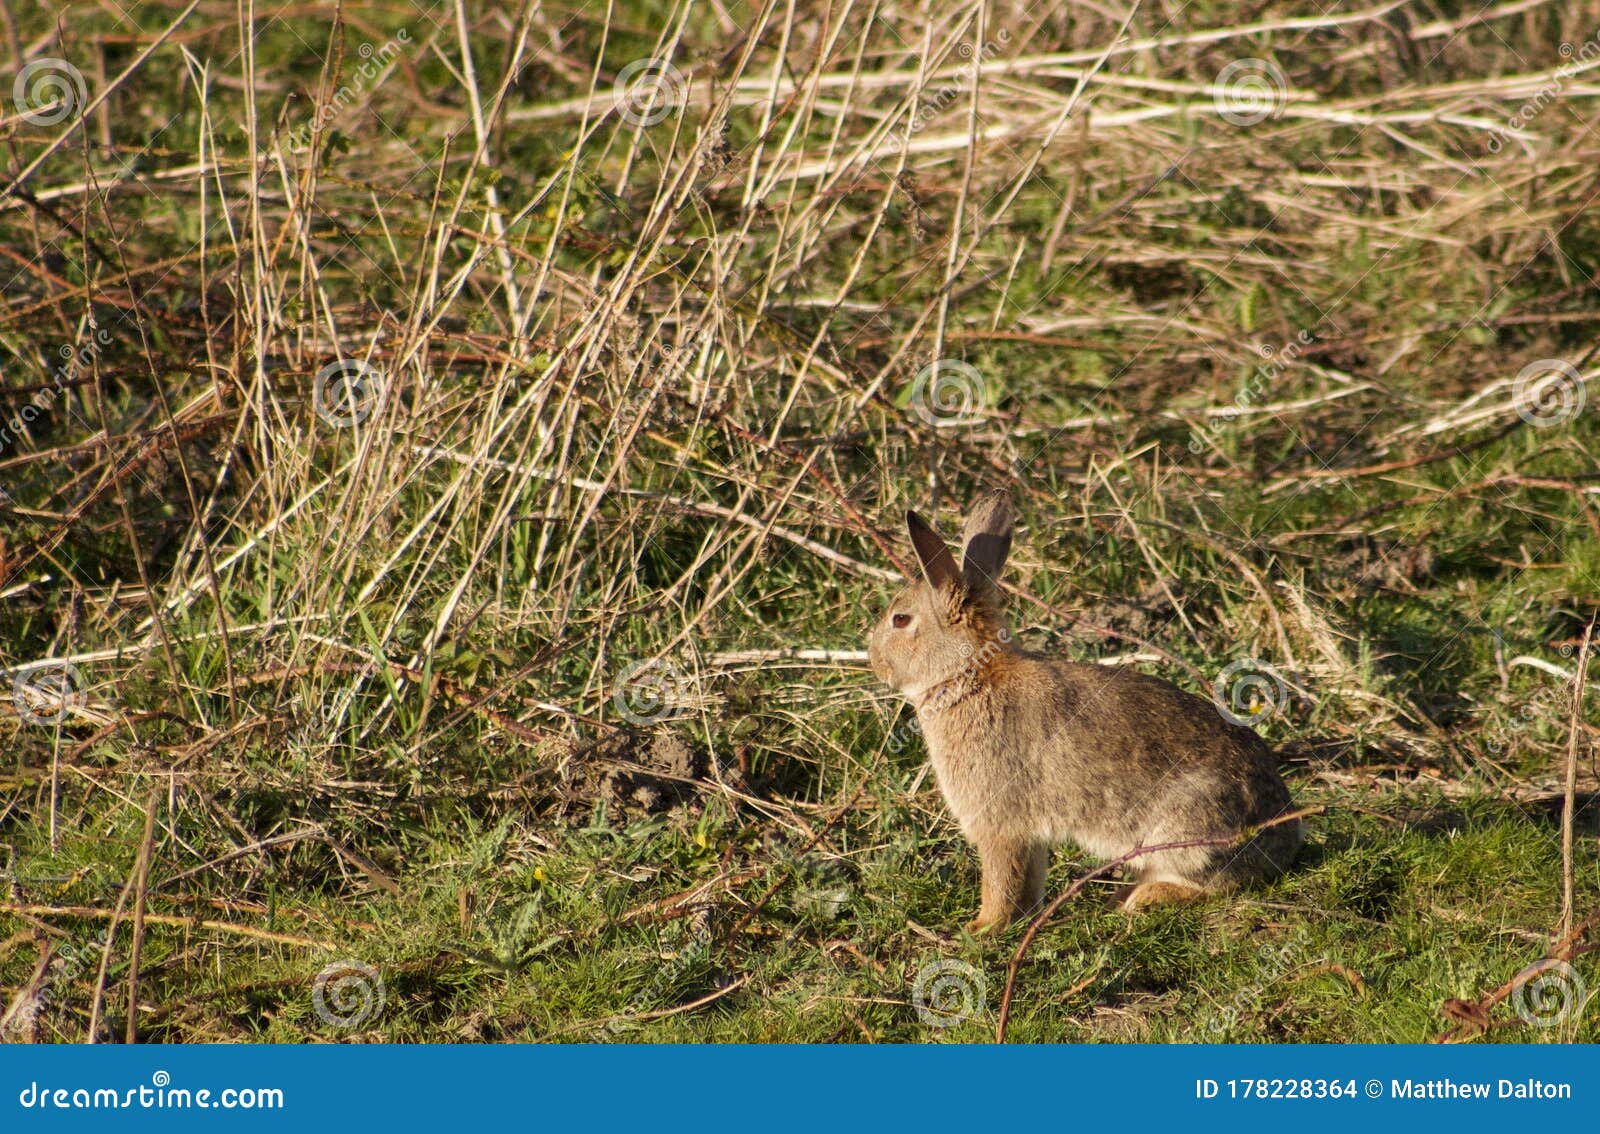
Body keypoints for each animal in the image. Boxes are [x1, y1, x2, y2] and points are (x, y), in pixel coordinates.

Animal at [867, 490, 1303, 932]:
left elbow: (1000, 881)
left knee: (1215, 885)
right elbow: (1028, 878)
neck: (970, 677)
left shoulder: (998, 825)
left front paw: (981, 928)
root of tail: (1283, 843)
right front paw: (1023, 918)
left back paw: (1143, 898)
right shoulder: (1028, 837)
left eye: (900, 620)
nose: (875, 661)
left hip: (1185, 830)